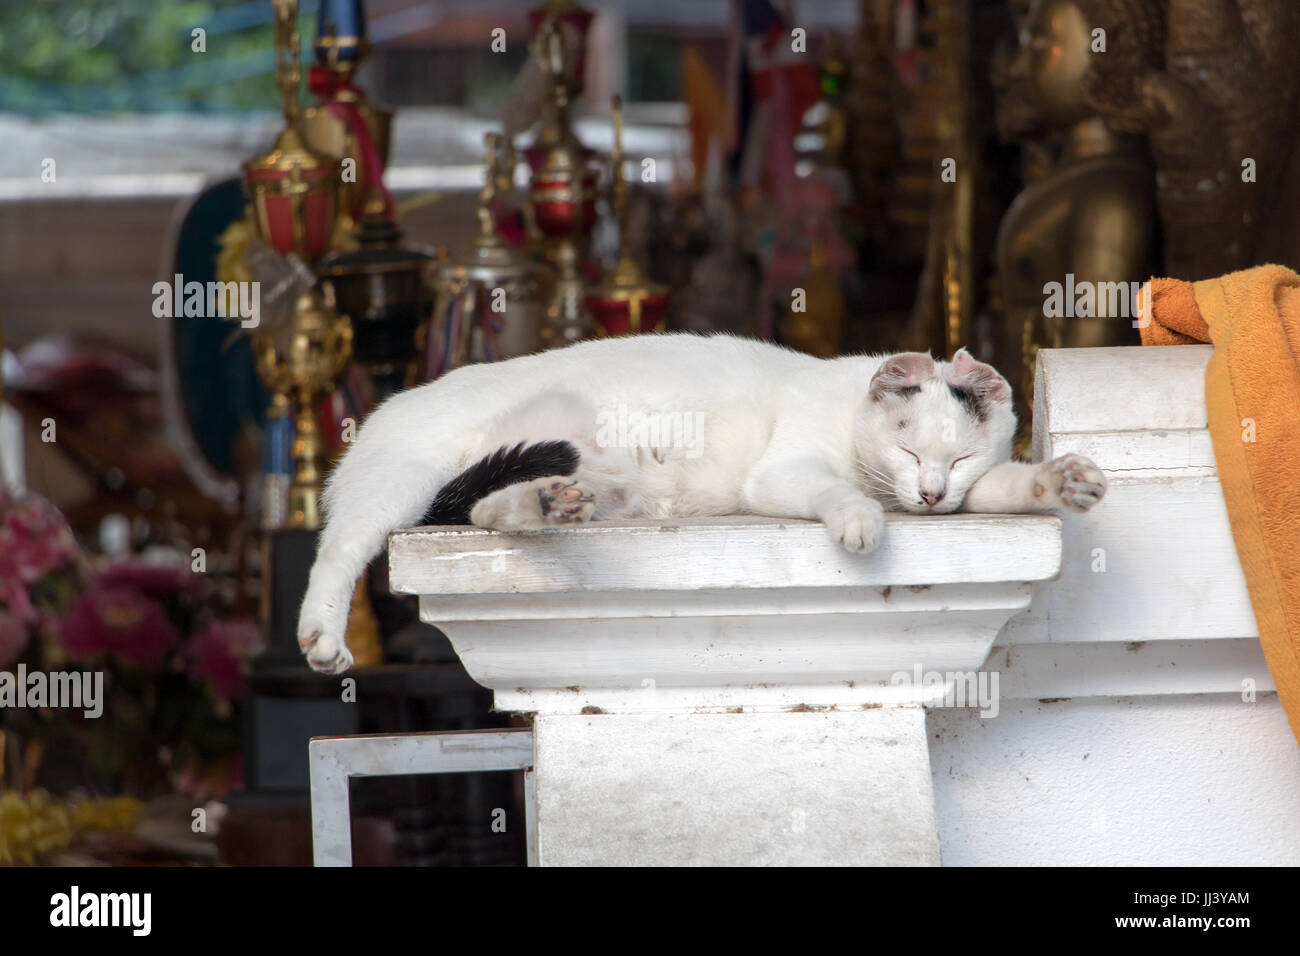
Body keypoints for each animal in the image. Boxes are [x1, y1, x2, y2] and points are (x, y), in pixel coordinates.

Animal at [297, 335, 1107, 671]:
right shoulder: (782, 473)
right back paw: (322, 636)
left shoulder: (969, 488)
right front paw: (858, 521)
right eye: (910, 452)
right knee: (341, 549)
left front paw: (1063, 480)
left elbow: (1008, 486)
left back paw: (552, 504)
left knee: (487, 512)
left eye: (959, 458)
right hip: (404, 479)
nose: (932, 495)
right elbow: (836, 491)